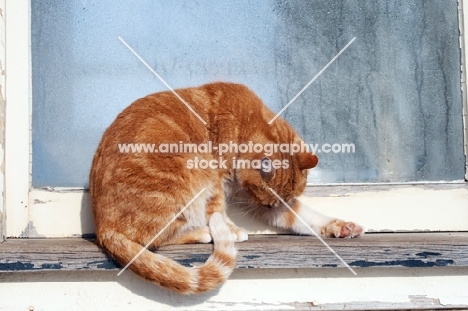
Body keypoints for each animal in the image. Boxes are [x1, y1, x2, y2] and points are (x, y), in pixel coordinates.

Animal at [89, 82, 364, 294]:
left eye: (273, 205)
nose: (270, 206)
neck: (246, 123)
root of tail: (103, 228)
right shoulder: (216, 178)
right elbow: (217, 208)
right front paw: (230, 230)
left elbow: (304, 216)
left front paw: (340, 227)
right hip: (190, 167)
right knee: (151, 238)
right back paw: (202, 232)